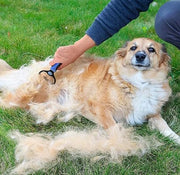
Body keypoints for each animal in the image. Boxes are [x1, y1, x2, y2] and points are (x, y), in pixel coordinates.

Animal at [0, 37, 179, 144]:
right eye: (133, 48)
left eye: (151, 49)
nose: (140, 56)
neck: (139, 82)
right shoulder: (100, 108)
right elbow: (114, 127)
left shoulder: (152, 113)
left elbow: (164, 125)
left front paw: (175, 138)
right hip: (25, 99)